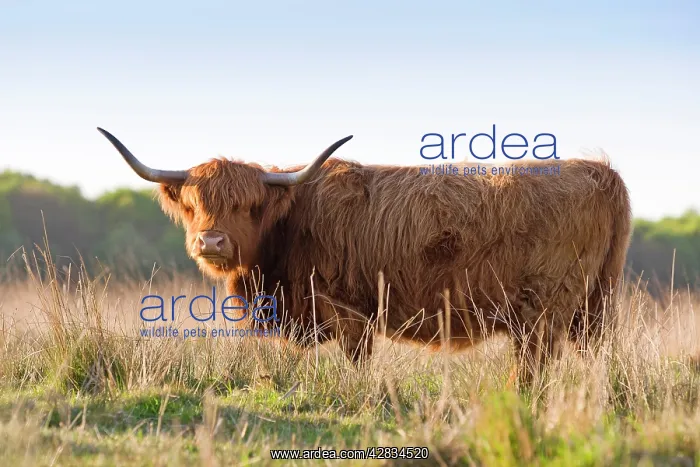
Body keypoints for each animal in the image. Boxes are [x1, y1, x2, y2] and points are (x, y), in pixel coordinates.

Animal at [97, 127, 632, 386]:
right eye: (192, 205)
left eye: (249, 206)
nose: (211, 242)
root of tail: (599, 171)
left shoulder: (348, 311)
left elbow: (358, 363)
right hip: (592, 311)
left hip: (542, 313)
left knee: (532, 370)